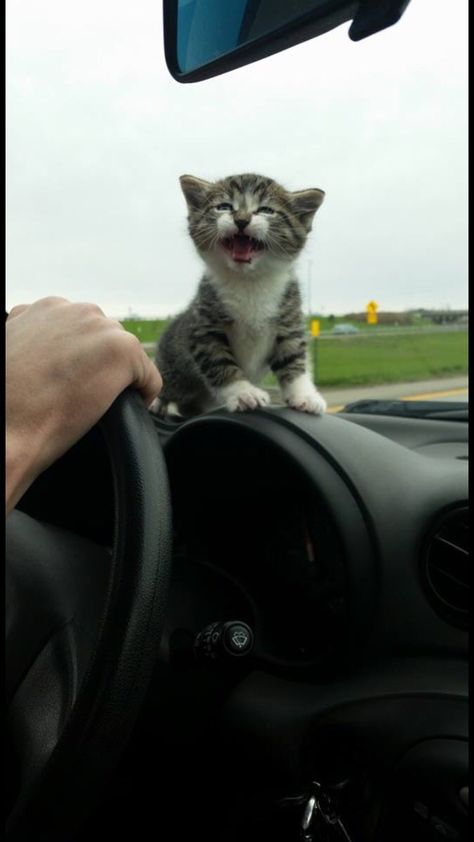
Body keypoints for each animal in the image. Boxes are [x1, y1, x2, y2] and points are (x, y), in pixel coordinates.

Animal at [154, 171, 328, 416]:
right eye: (224, 207)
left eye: (266, 210)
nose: (242, 220)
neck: (249, 281)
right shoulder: (204, 327)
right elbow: (220, 363)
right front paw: (243, 393)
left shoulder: (289, 317)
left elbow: (294, 357)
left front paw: (303, 394)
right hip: (173, 369)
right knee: (166, 386)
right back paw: (158, 402)